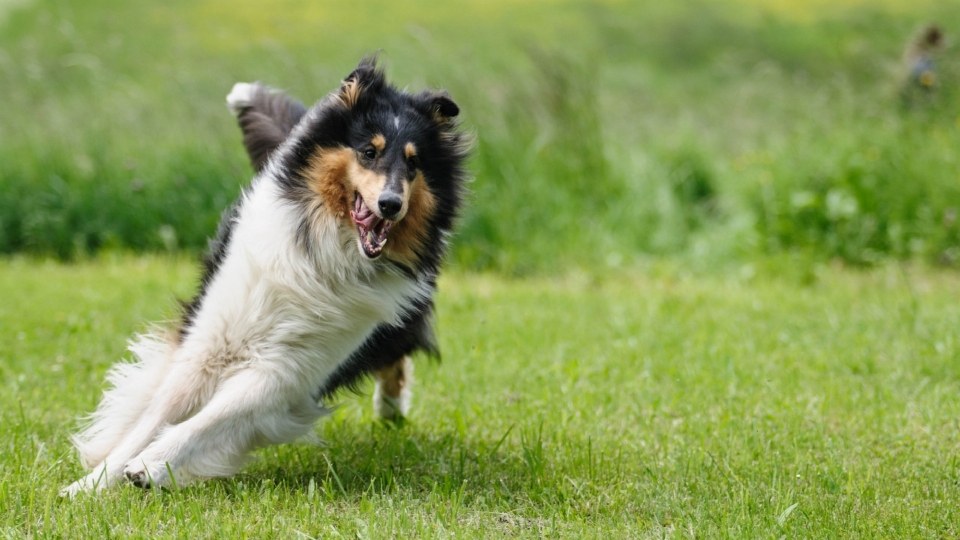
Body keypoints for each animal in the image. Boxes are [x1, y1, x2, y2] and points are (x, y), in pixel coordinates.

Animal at [60, 58, 468, 494]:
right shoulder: (209, 343)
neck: (324, 254)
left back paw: (391, 408)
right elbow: (154, 416)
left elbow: (211, 418)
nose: (391, 204)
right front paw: (88, 486)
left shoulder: (288, 371)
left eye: (413, 162)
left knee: (396, 353)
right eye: (368, 152)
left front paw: (149, 465)